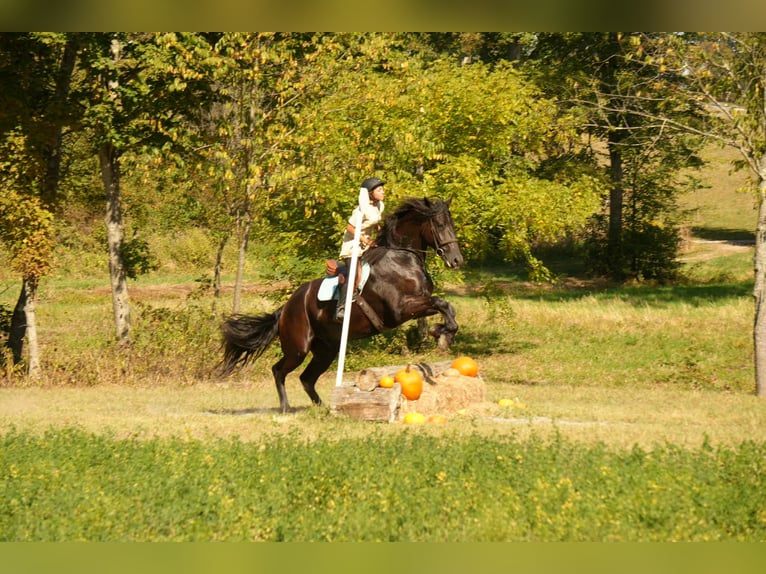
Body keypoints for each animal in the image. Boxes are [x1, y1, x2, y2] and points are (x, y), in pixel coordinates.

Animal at [218, 196, 464, 413]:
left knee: (307, 378)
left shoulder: (417, 305)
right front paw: (442, 335)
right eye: (440, 225)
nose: (457, 260)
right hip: (298, 347)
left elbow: (446, 306)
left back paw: (325, 408)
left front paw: (442, 333)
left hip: (326, 350)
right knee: (279, 370)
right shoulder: (400, 310)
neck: (402, 257)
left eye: (451, 224)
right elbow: (441, 303)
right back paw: (286, 407)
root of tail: (285, 308)